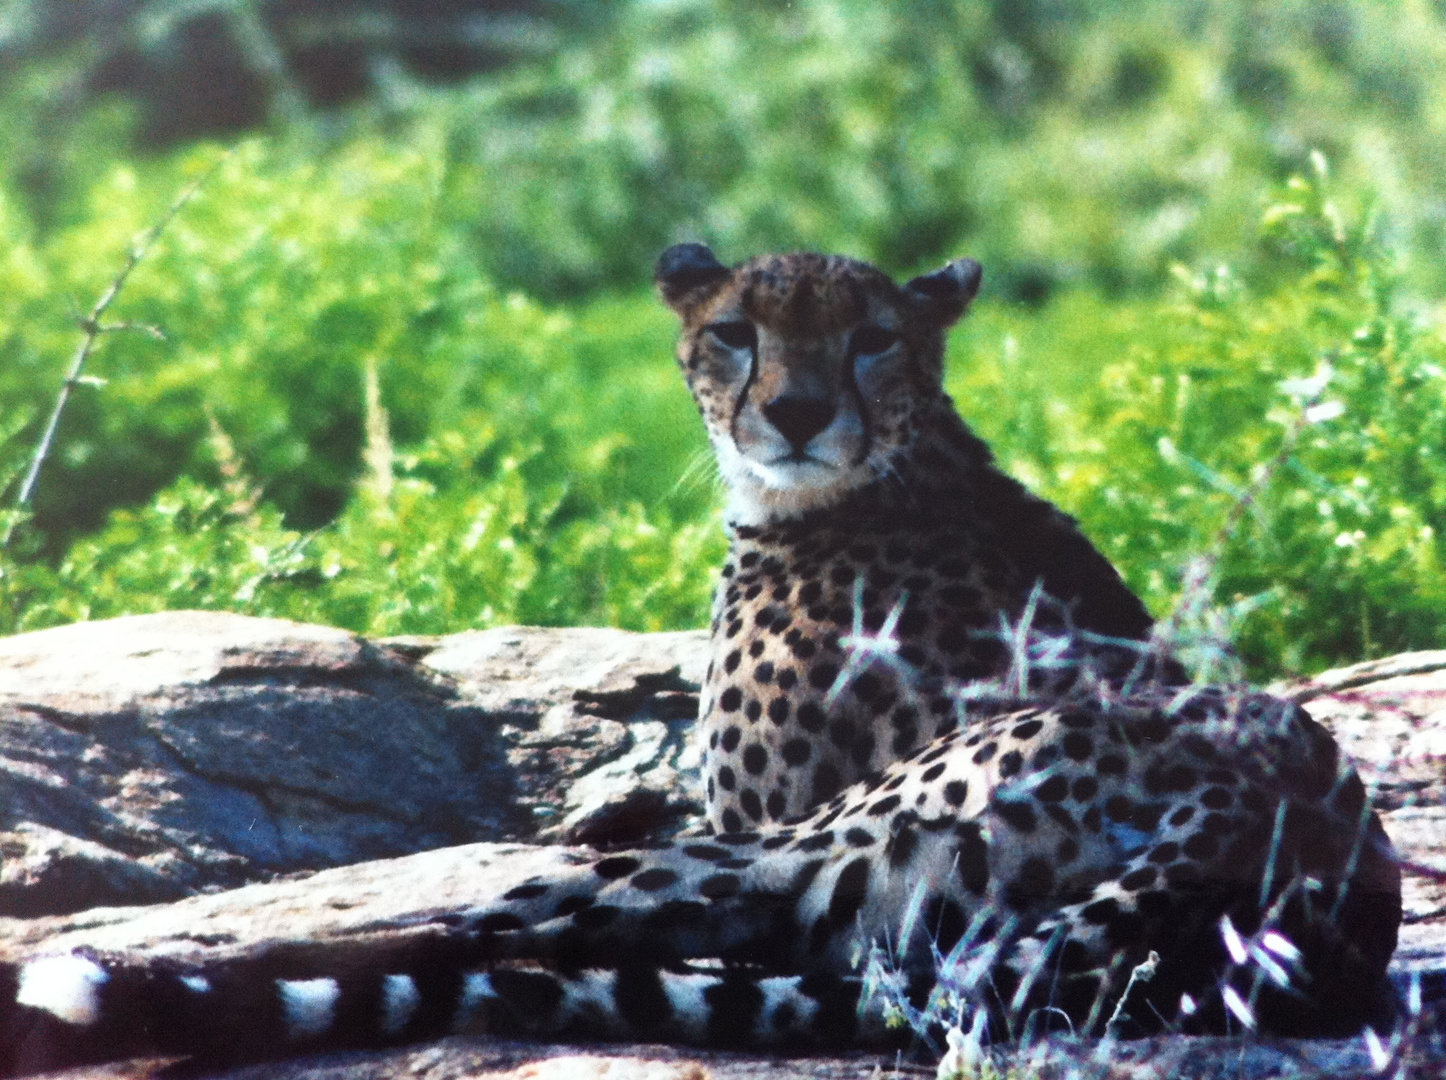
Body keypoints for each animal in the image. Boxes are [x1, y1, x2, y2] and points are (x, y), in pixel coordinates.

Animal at [0, 247, 1399, 1075]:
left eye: (873, 337)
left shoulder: (761, 822)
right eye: (736, 330)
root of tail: (1288, 839)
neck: (885, 469)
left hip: (814, 850)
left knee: (483, 925)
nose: (796, 410)